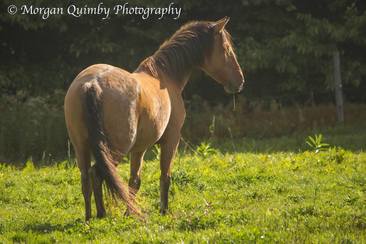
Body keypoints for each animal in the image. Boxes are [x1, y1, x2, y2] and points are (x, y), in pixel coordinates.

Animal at [64, 16, 244, 220]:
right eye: (226, 49)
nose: (240, 81)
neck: (163, 76)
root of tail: (92, 84)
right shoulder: (171, 140)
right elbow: (165, 176)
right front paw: (163, 210)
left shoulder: (139, 149)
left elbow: (134, 181)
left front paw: (130, 212)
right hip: (116, 149)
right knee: (97, 173)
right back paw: (101, 214)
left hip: (82, 147)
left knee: (86, 177)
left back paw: (89, 217)